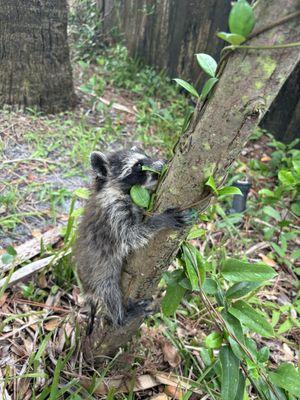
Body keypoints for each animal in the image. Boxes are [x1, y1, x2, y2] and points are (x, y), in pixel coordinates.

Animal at [75, 148, 195, 330]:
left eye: (147, 156)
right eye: (138, 166)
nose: (163, 163)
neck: (112, 189)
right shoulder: (114, 212)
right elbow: (131, 235)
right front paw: (160, 221)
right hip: (98, 274)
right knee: (109, 291)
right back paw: (122, 317)